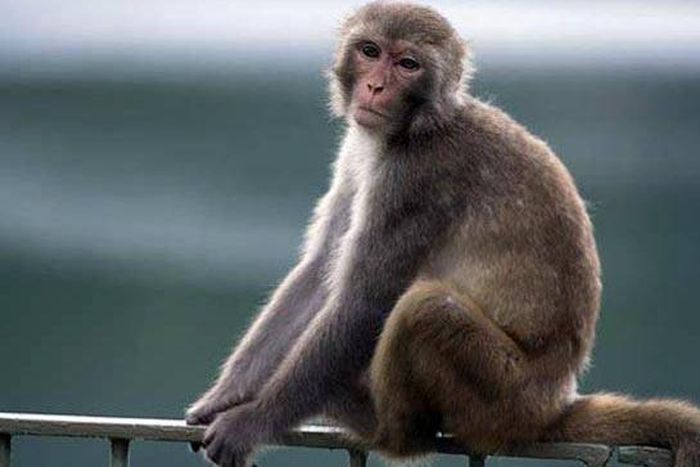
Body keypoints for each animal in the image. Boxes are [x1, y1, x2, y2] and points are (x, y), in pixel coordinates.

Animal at [186, 2, 700, 466]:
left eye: (407, 65)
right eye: (370, 51)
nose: (375, 86)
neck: (415, 126)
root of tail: (555, 403)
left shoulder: (415, 178)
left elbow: (362, 301)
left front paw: (252, 421)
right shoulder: (360, 151)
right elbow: (320, 270)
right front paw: (225, 396)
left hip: (505, 395)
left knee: (427, 309)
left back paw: (383, 428)